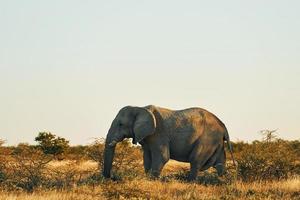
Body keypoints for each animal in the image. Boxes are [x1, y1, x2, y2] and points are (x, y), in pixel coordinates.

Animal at [102, 105, 236, 180]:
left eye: (121, 124)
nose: (111, 177)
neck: (139, 108)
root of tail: (223, 125)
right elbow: (147, 158)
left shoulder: (158, 133)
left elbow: (162, 157)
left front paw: (152, 180)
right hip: (215, 140)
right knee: (220, 163)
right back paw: (223, 181)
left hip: (207, 138)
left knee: (195, 160)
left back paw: (190, 182)